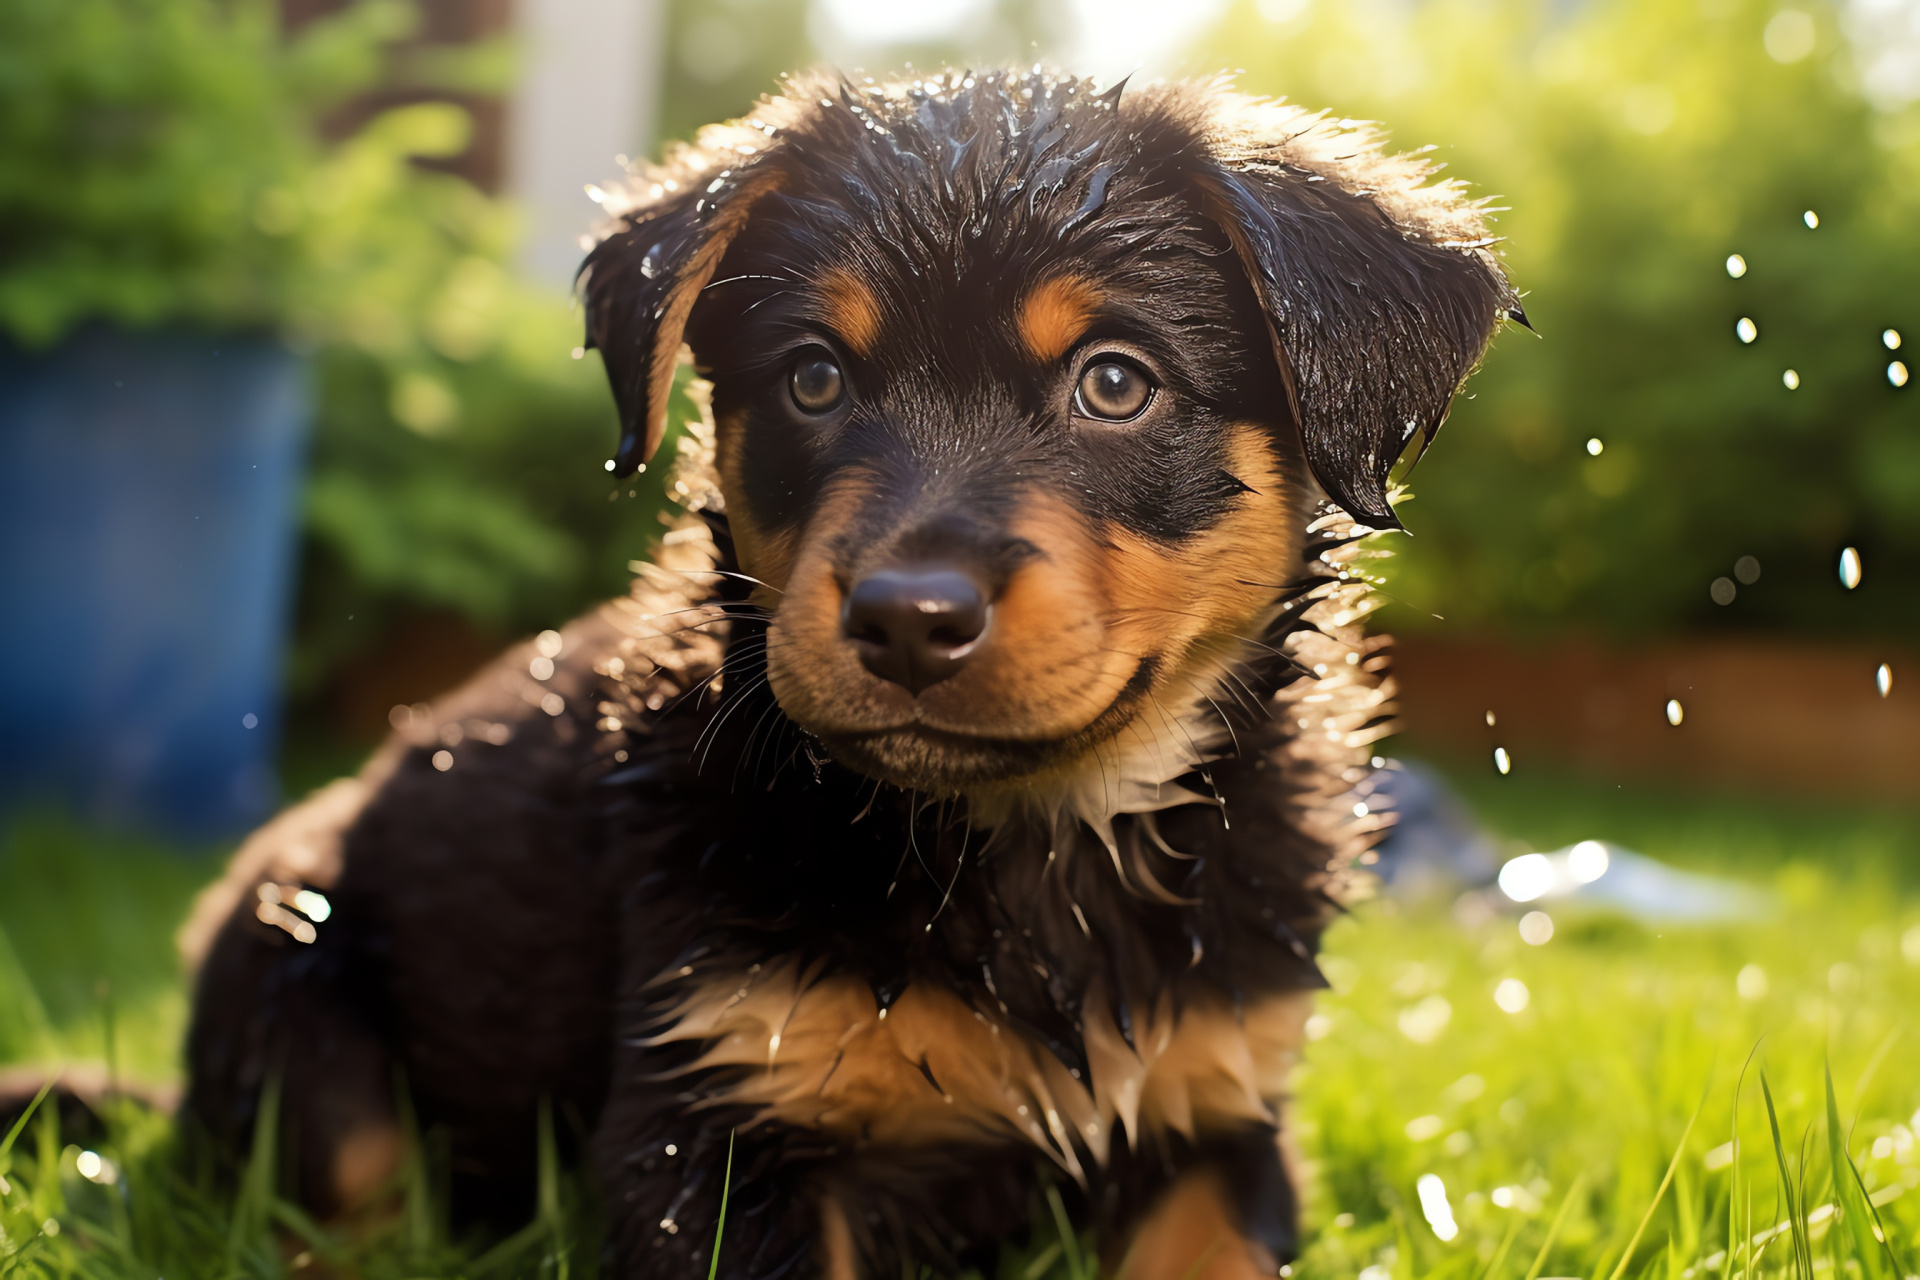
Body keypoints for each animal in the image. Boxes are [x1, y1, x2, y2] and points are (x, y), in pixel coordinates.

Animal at [180, 67, 1512, 1280]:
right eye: (814, 377)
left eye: (1116, 382)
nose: (908, 618)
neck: (1037, 840)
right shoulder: (716, 1116)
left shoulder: (1220, 1106)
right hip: (290, 961)